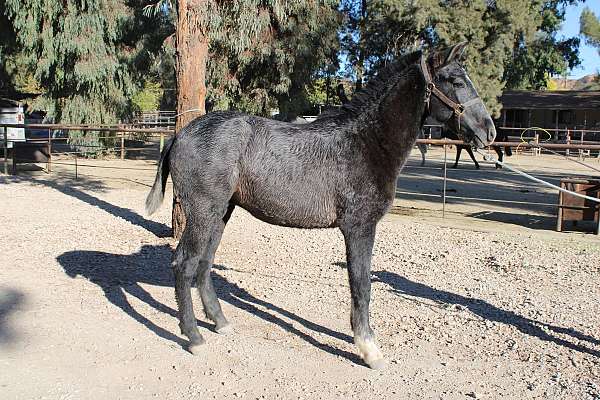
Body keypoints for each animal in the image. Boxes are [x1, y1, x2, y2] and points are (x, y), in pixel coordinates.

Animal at [146, 43, 496, 368]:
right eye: (455, 80)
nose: (489, 131)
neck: (365, 141)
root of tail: (180, 135)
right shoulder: (359, 228)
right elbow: (361, 284)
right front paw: (369, 349)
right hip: (203, 213)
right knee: (185, 264)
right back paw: (194, 337)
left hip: (221, 213)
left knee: (204, 264)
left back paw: (220, 323)